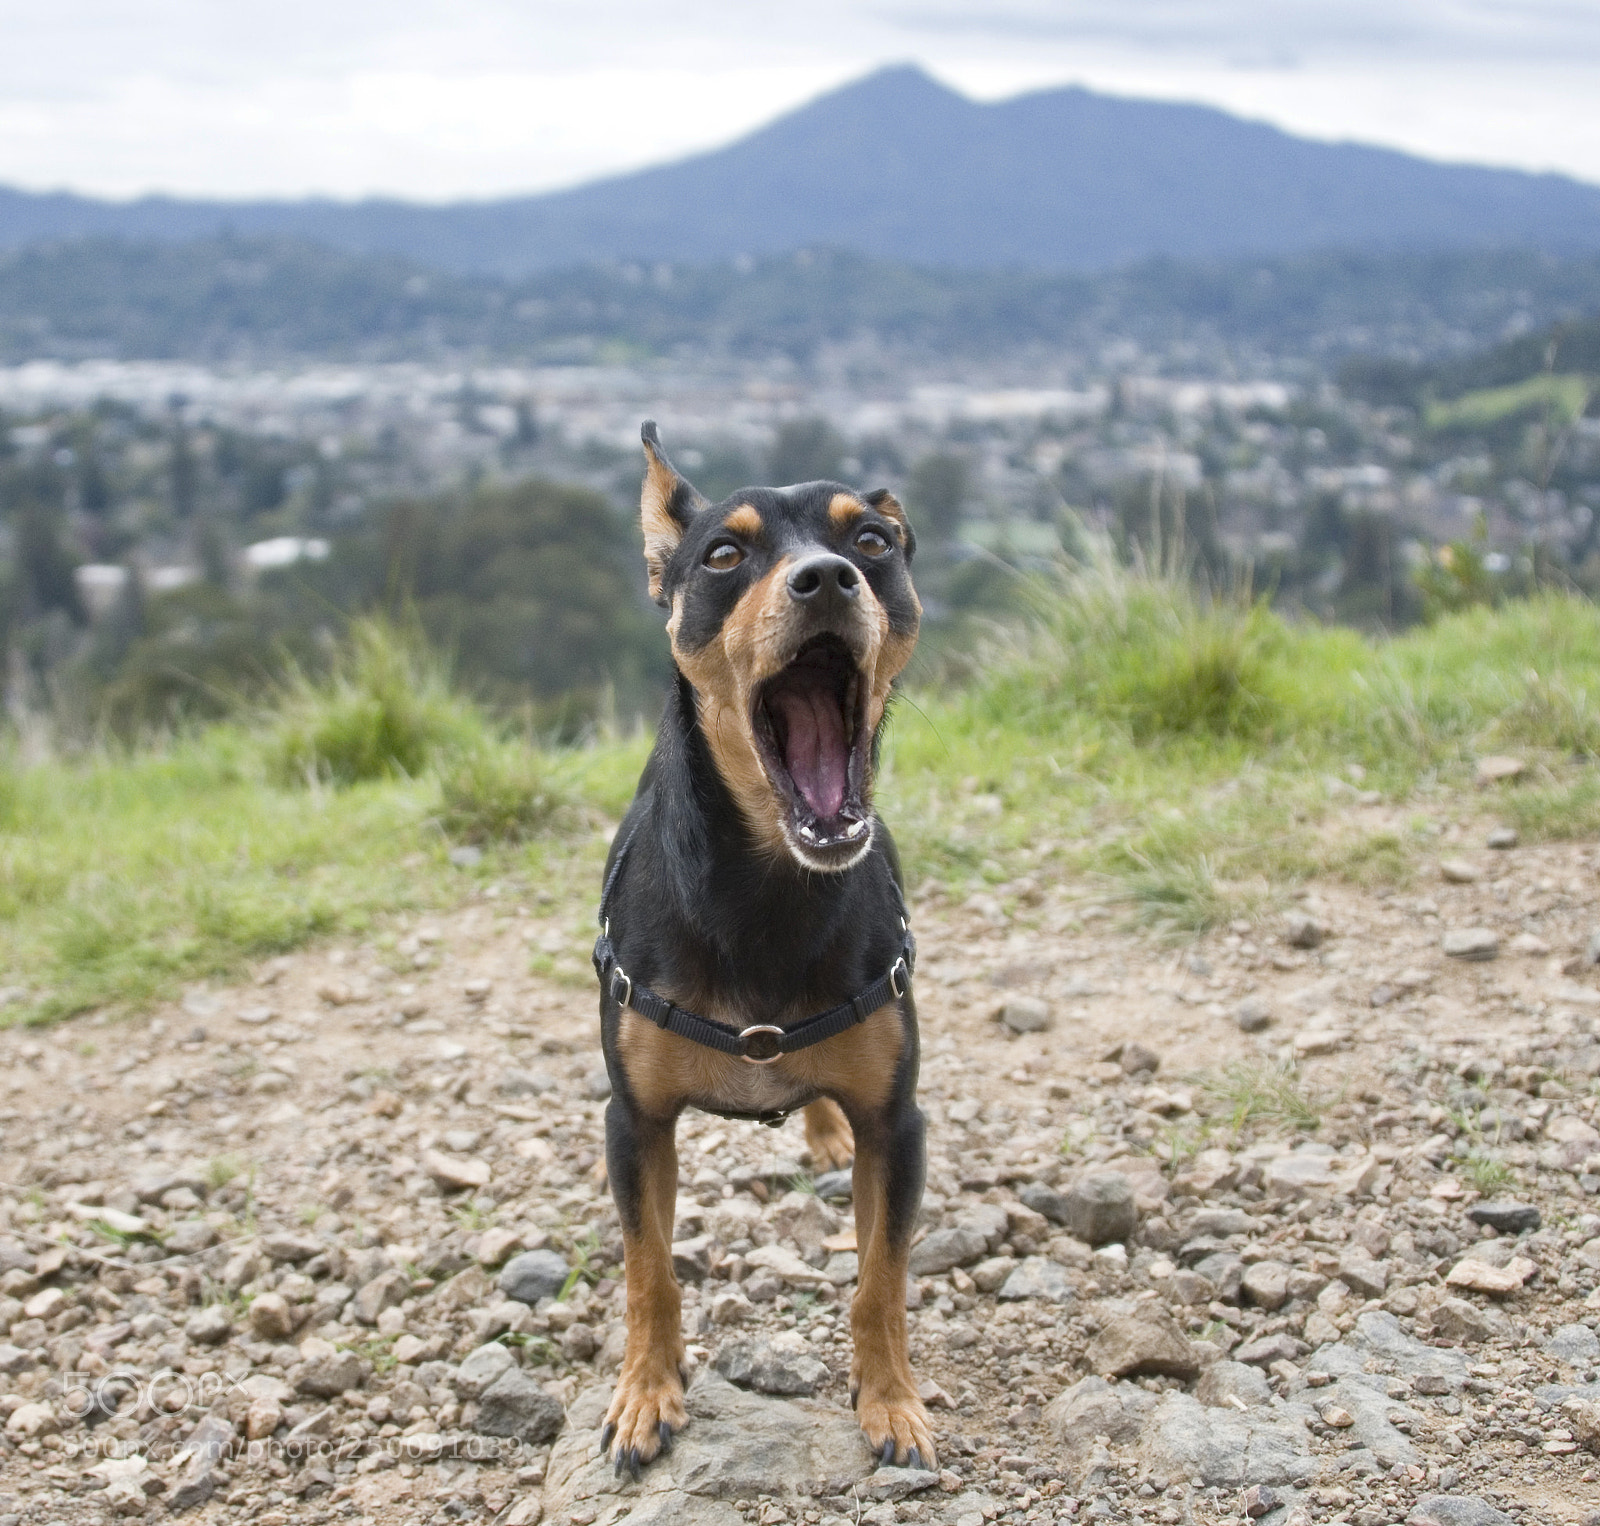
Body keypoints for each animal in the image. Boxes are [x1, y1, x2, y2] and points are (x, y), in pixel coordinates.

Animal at [595, 419, 934, 1478]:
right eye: (722, 556)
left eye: (871, 540)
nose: (826, 579)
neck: (768, 890)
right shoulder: (633, 1123)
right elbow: (649, 1270)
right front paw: (645, 1396)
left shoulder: (900, 1124)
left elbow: (880, 1279)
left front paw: (891, 1402)